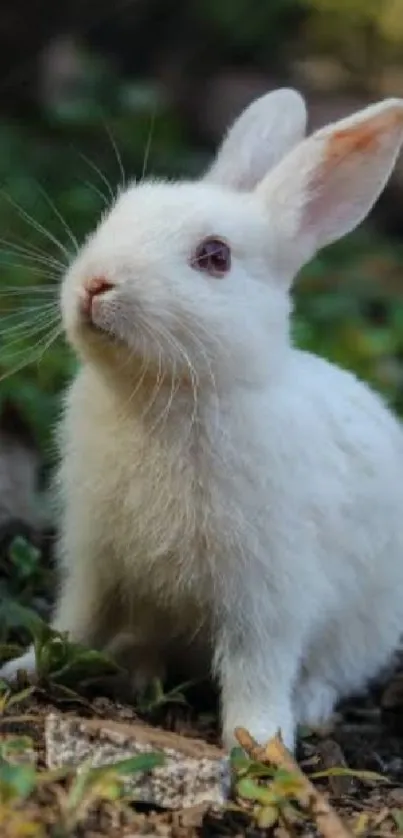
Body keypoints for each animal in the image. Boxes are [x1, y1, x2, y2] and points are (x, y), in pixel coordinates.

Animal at [2, 88, 403, 752]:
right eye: (117, 213)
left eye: (215, 257)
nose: (95, 284)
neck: (165, 394)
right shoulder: (95, 560)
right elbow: (76, 621)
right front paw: (23, 668)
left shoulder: (266, 595)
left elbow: (255, 669)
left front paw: (259, 744)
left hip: (366, 626)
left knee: (333, 671)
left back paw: (309, 707)